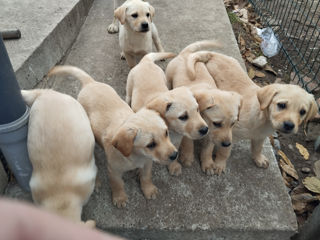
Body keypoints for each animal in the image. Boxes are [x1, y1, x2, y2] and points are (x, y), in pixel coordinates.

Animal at [48, 66, 178, 208]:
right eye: (151, 145)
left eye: (166, 133)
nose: (175, 155)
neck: (135, 156)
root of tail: (90, 83)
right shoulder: (114, 171)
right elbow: (118, 185)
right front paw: (119, 197)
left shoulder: (147, 163)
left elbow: (146, 177)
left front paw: (148, 189)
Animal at [165, 42, 242, 175]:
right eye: (217, 123)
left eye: (233, 124)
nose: (227, 144)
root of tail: (186, 53)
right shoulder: (187, 127)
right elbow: (188, 142)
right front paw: (187, 156)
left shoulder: (211, 135)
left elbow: (208, 149)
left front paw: (208, 163)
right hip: (169, 77)